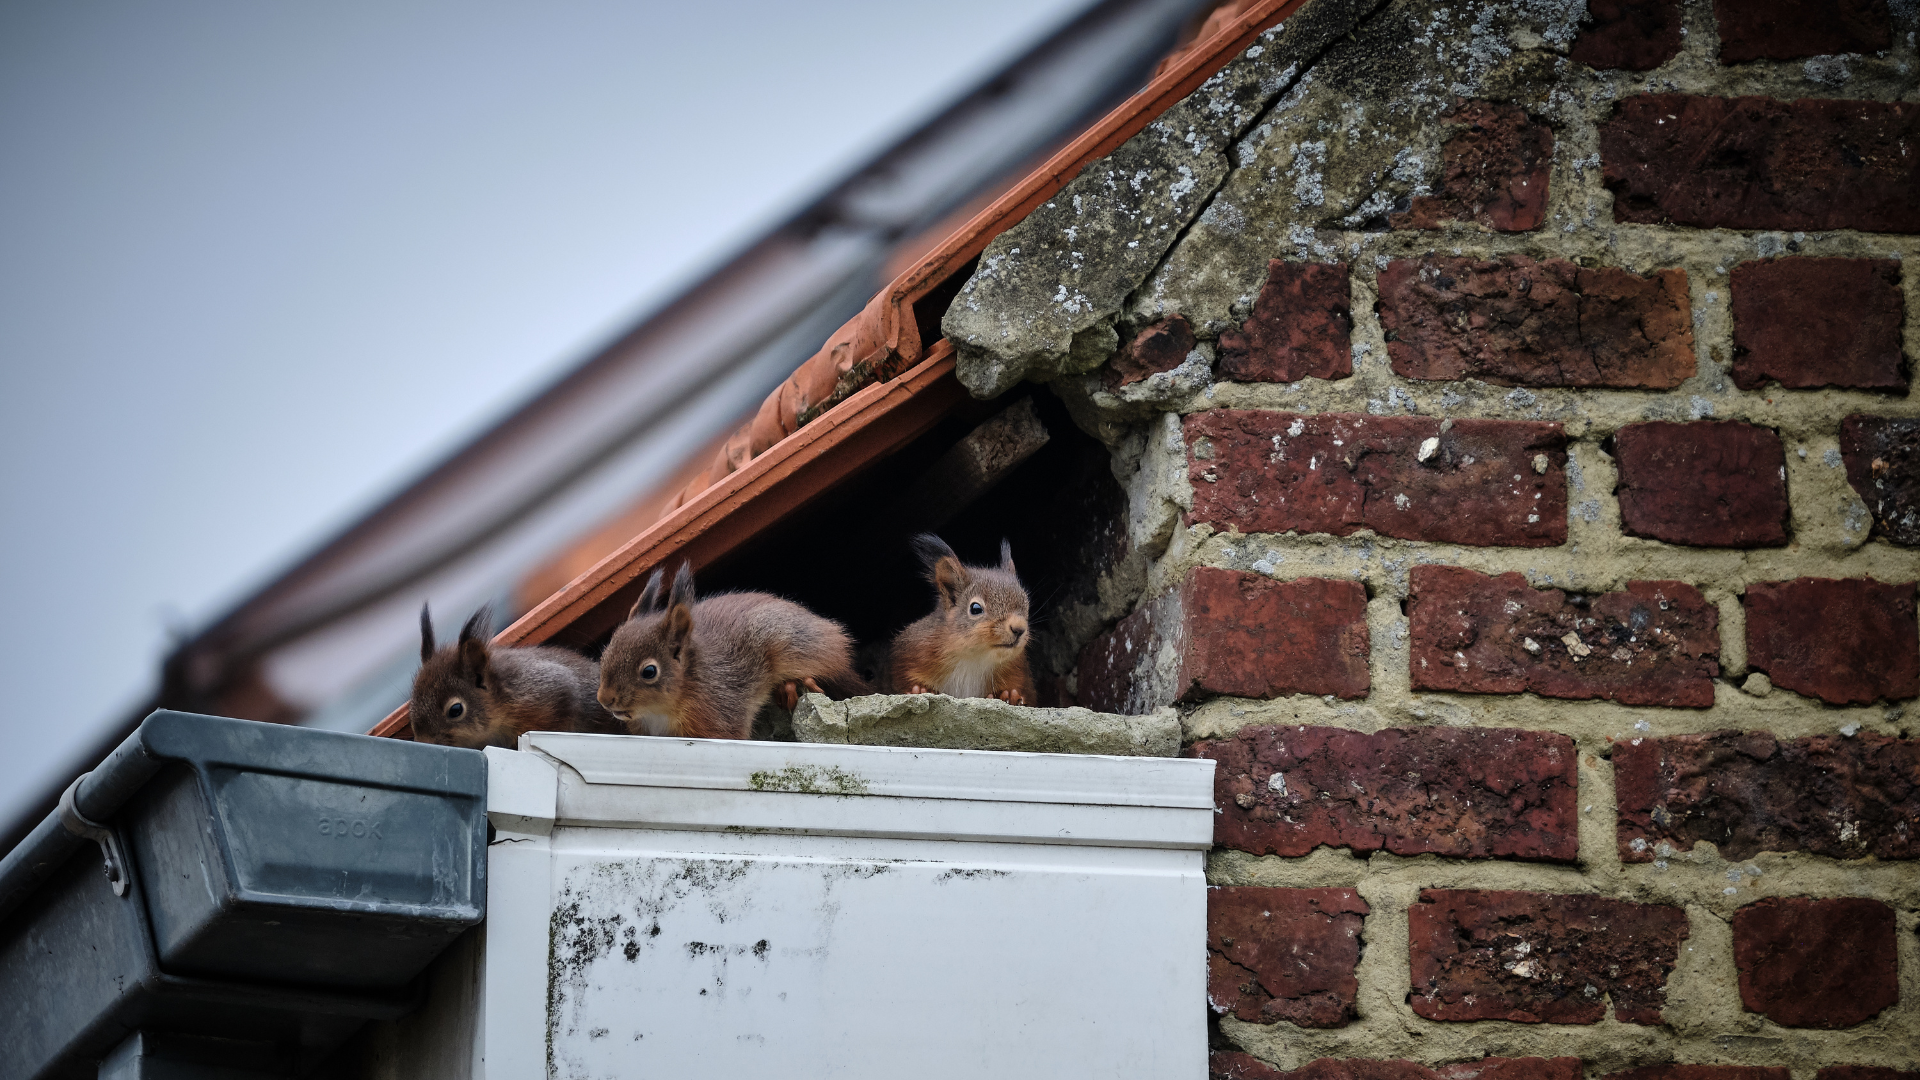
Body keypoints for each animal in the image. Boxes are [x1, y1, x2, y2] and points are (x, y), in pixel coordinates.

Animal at [883, 534, 1035, 705]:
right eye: (975, 608)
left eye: (1027, 604)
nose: (1019, 628)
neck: (973, 657)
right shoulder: (910, 654)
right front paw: (920, 690)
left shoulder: (1018, 670)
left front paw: (1010, 695)